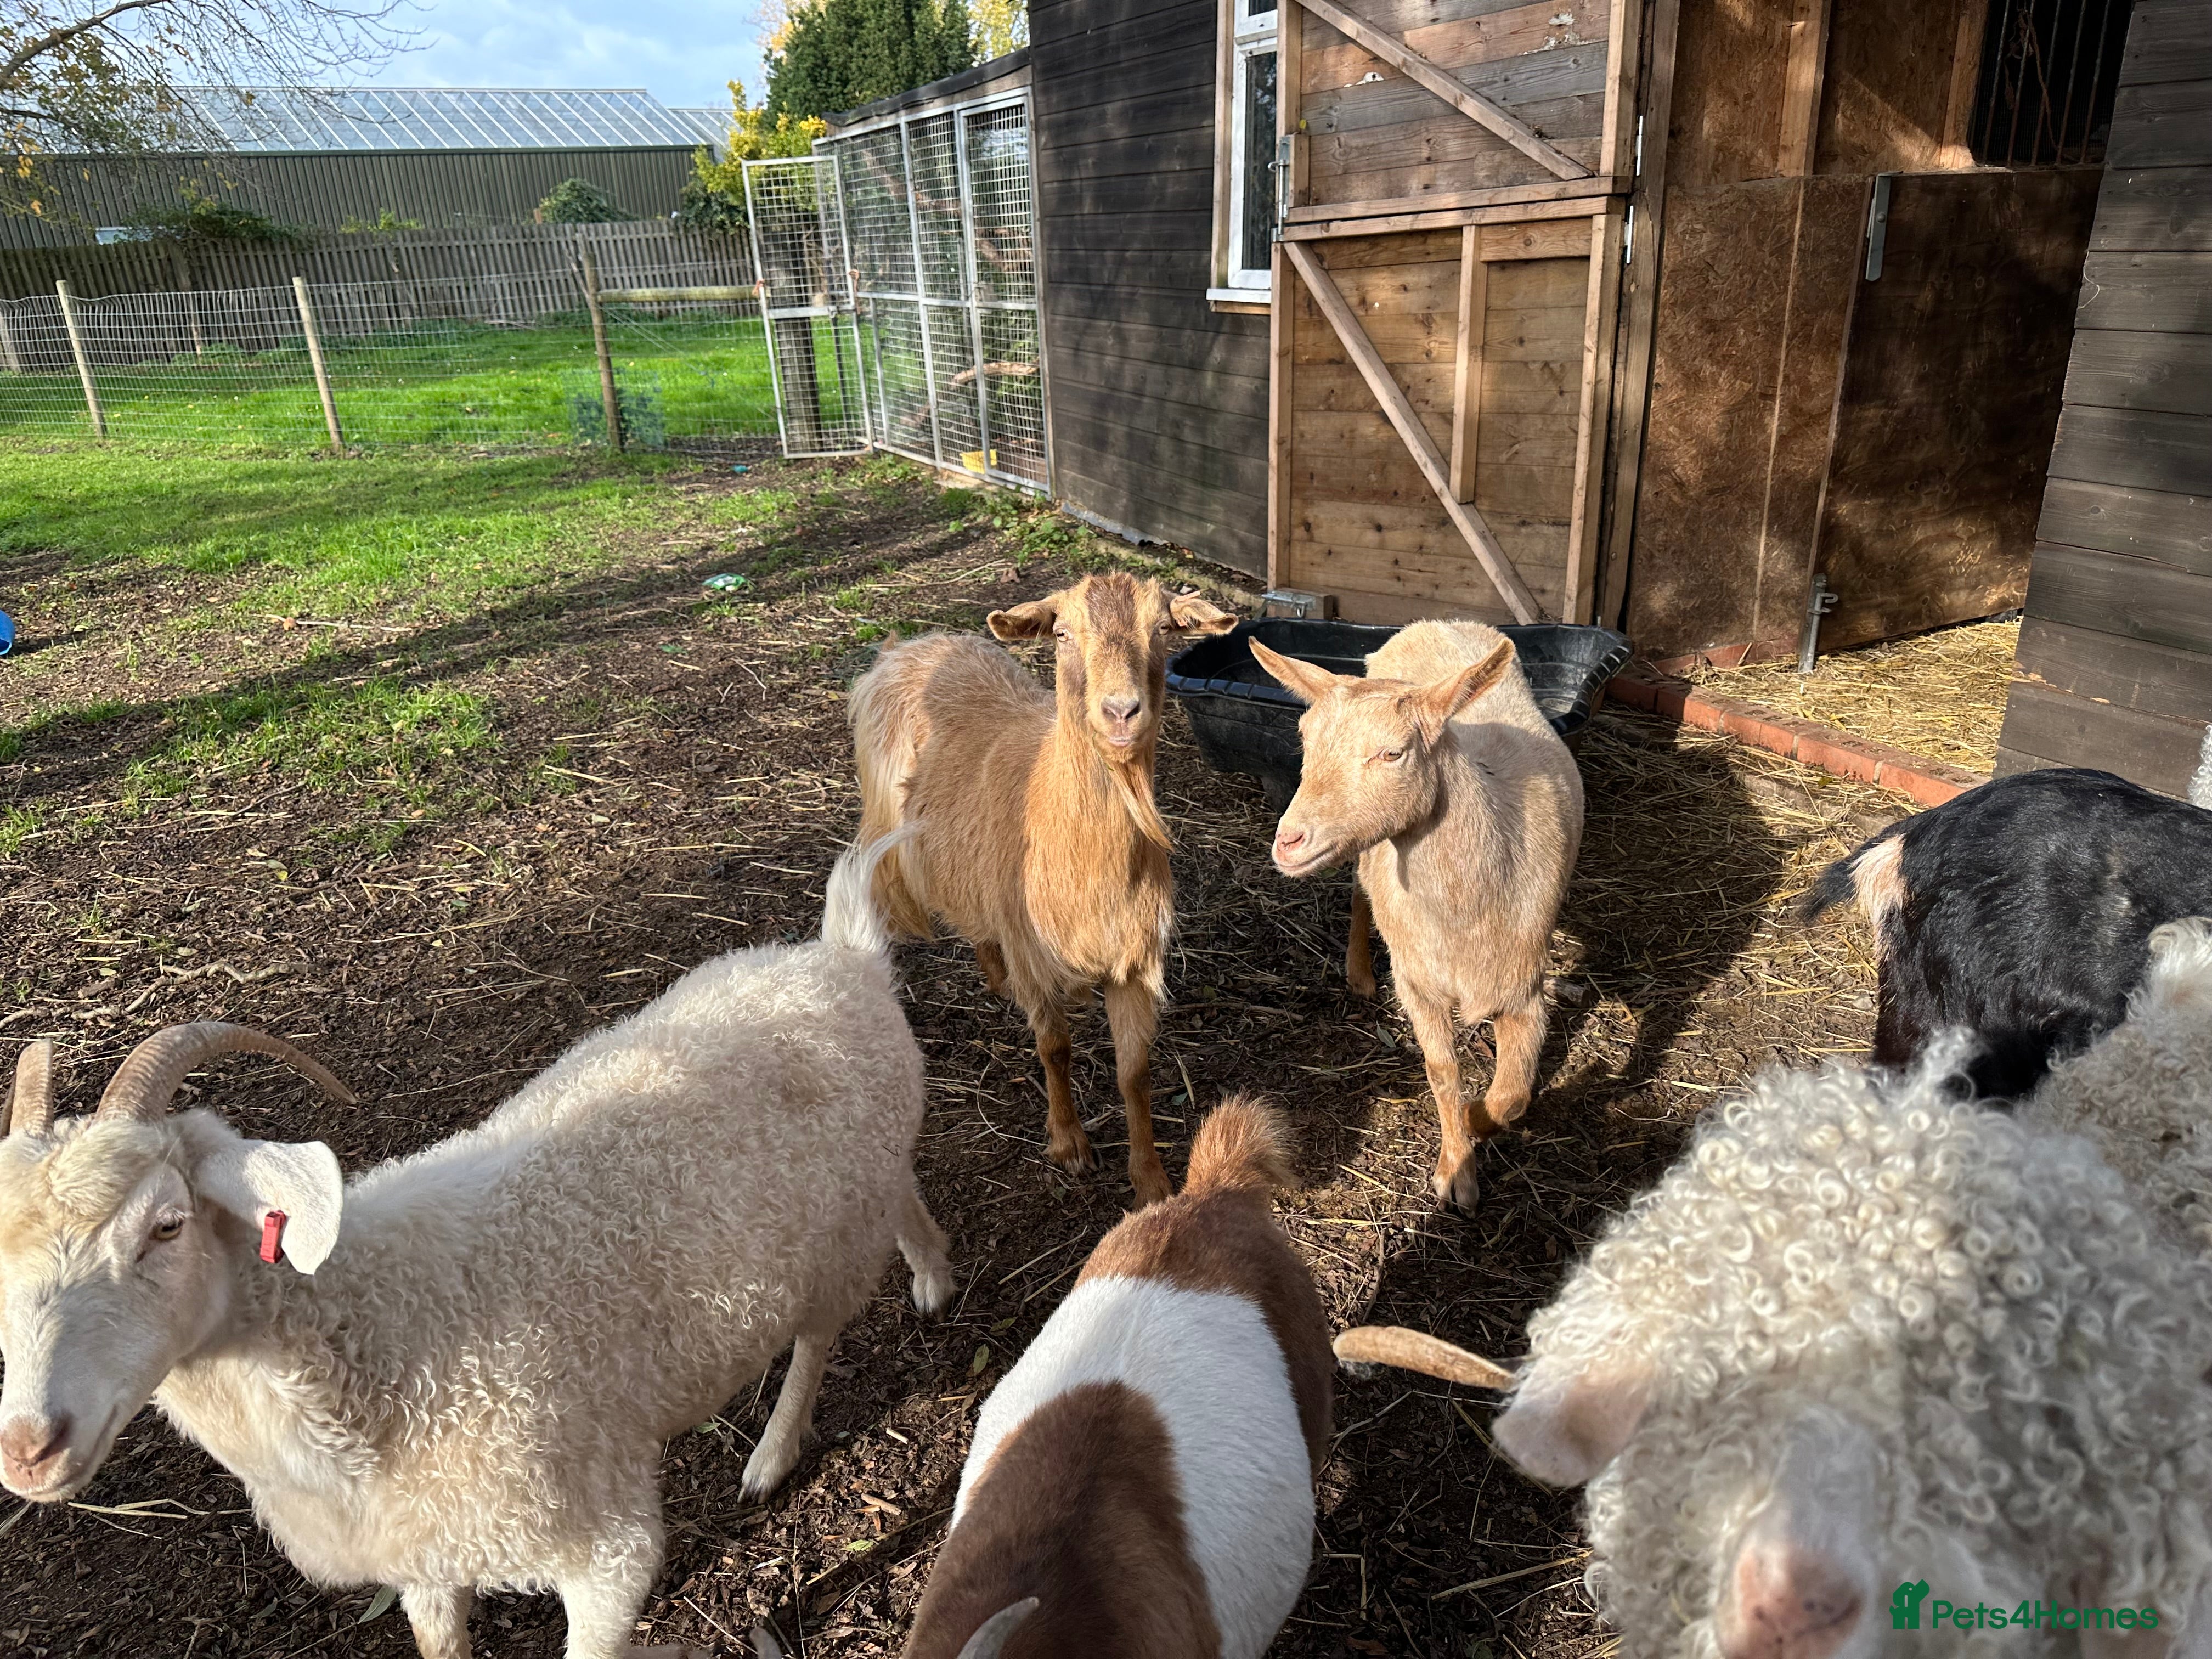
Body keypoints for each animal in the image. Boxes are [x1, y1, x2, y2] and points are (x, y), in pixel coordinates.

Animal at [0, 835, 953, 1659]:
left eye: (166, 1225)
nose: (29, 1450)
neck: (372, 1334)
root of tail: (840, 956)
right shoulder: (426, 1556)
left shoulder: (606, 1547)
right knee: (903, 1188)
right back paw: (932, 1270)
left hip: (829, 1245)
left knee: (818, 1336)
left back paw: (776, 1450)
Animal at [849, 573, 1238, 1207]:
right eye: (1062, 634)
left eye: (1162, 628)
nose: (1121, 711)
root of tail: (913, 644)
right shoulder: (1032, 949)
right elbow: (1055, 1048)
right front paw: (1069, 1144)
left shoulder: (1133, 958)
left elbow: (1135, 1072)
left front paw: (1151, 1182)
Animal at [1251, 621, 1583, 1210]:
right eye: (1305, 740)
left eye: (1393, 754)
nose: (1289, 842)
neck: (1464, 906)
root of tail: (1434, 623)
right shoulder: (1418, 983)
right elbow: (1443, 1071)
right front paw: (1458, 1170)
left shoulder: (1523, 988)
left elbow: (1513, 1095)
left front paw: (1476, 1120)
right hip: (1368, 853)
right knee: (1360, 891)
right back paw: (1359, 972)